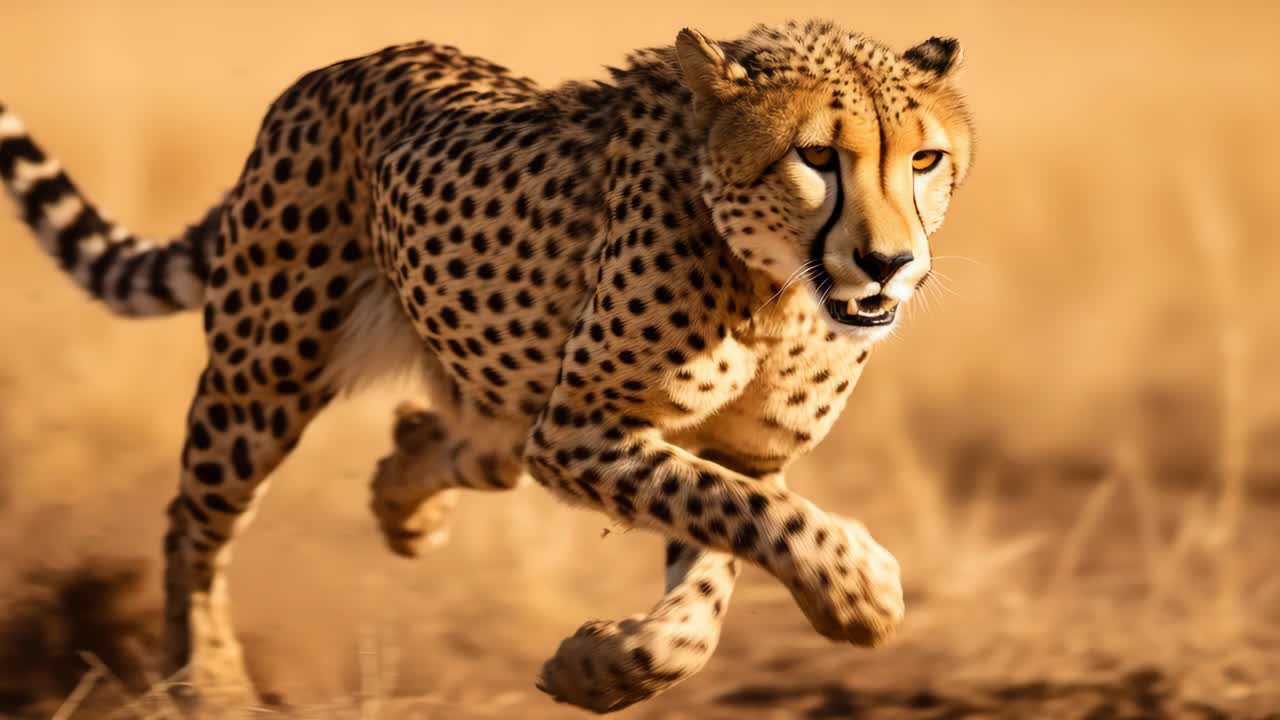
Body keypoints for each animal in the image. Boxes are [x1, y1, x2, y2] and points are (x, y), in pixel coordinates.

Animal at [0, 18, 973, 714]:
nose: (890, 263)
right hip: (262, 377)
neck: (776, 292)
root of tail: (346, 65)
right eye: (817, 157)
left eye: (925, 159)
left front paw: (602, 669)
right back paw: (204, 680)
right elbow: (754, 519)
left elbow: (710, 579)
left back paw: (403, 498)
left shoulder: (734, 451)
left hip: (496, 388)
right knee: (191, 523)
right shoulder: (582, 427)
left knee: (457, 441)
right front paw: (859, 592)